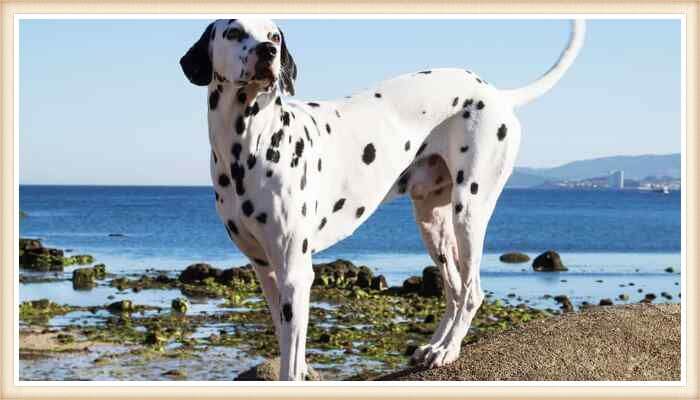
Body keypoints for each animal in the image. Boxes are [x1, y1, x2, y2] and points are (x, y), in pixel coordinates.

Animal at [180, 19, 584, 382]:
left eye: (274, 35)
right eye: (234, 32)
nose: (268, 52)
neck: (249, 143)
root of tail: (497, 93)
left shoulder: (296, 272)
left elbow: (291, 363)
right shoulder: (266, 270)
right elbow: (284, 341)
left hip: (468, 213)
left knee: (472, 292)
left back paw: (449, 350)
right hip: (432, 224)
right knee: (454, 289)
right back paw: (434, 347)